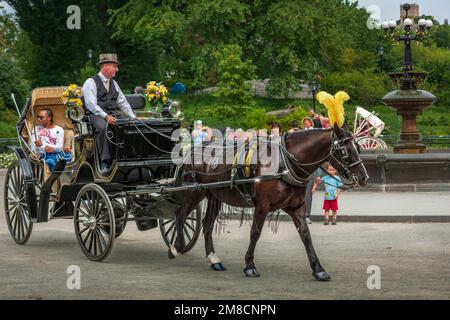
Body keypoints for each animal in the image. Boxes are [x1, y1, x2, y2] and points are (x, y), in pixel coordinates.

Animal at [169, 124, 370, 282]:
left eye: (358, 148)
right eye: (344, 151)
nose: (364, 177)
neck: (286, 162)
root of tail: (190, 151)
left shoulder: (296, 207)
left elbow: (306, 236)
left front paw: (318, 269)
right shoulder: (262, 206)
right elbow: (255, 233)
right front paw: (250, 265)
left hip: (214, 195)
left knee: (207, 224)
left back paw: (213, 259)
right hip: (194, 191)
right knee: (180, 214)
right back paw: (176, 246)